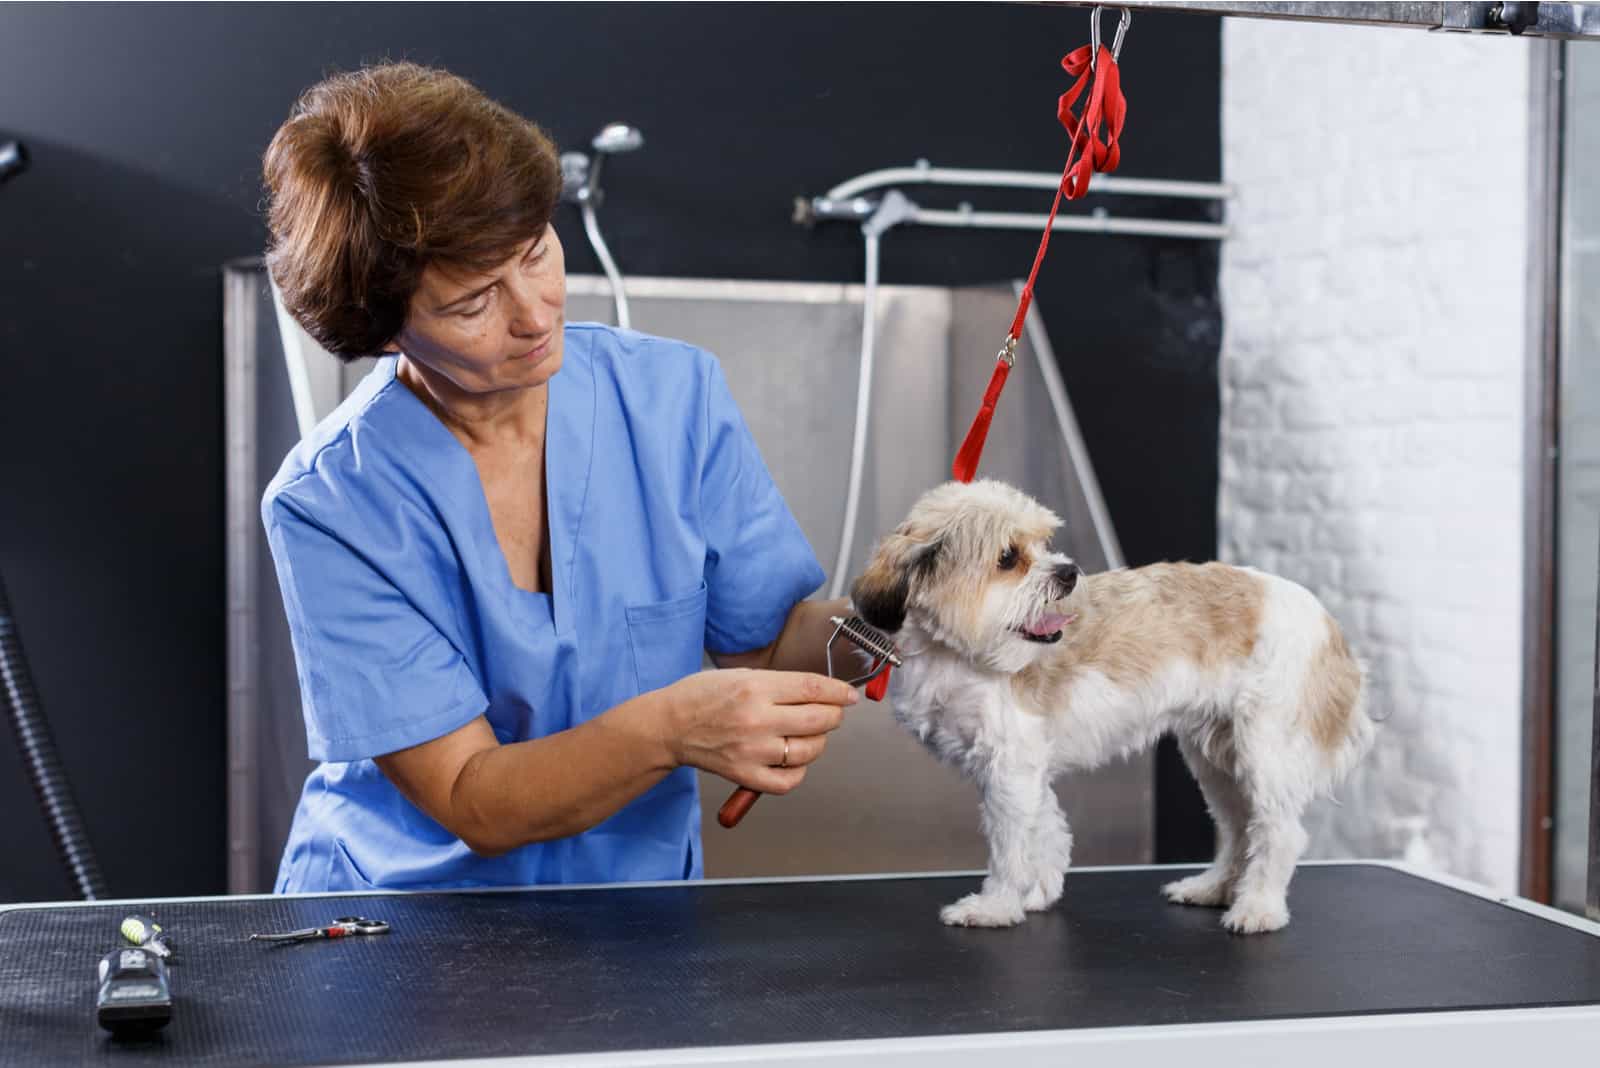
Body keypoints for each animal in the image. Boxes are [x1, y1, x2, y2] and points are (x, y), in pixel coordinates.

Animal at [857, 479, 1369, 927]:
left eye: (1045, 542)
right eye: (1008, 557)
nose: (1067, 572)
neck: (958, 655)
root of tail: (1328, 625)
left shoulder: (1010, 765)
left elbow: (1011, 848)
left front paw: (996, 906)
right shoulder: (1026, 770)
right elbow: (1046, 831)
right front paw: (1036, 891)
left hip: (1266, 749)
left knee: (1278, 832)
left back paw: (1258, 907)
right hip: (1216, 758)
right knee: (1239, 825)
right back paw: (1215, 888)